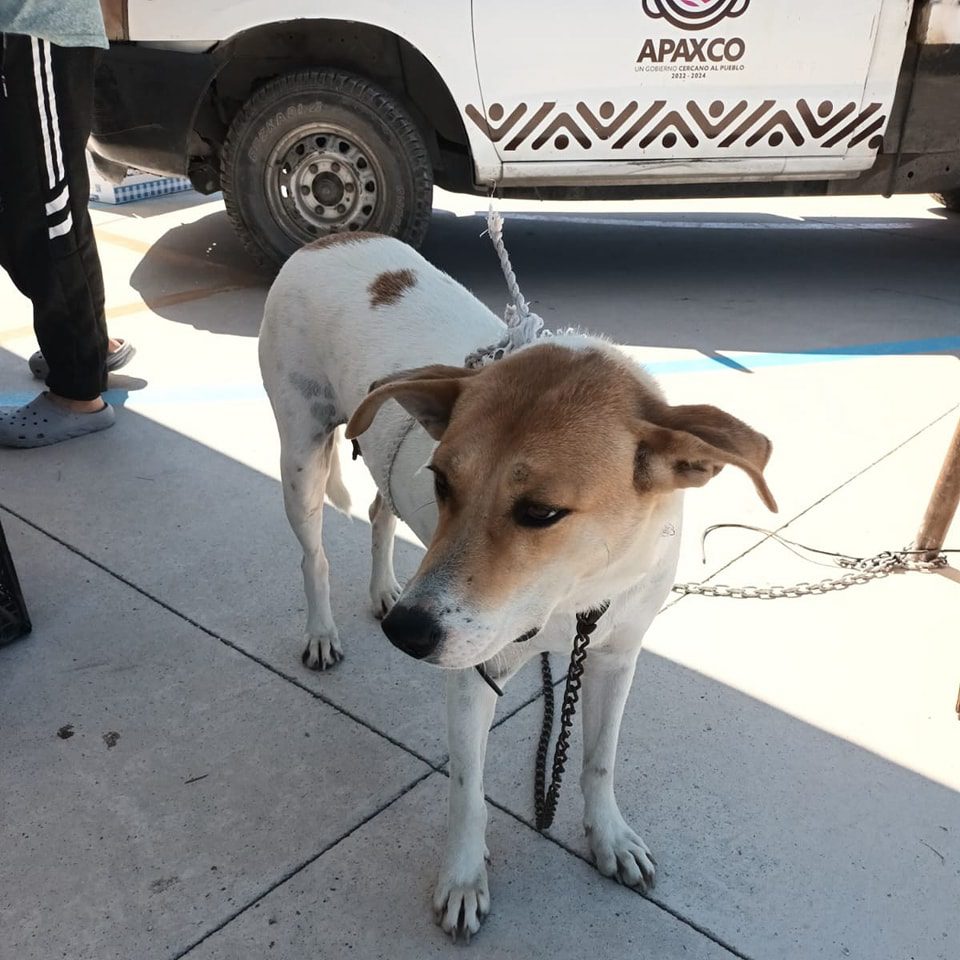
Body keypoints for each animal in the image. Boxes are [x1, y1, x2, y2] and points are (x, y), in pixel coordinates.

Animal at [258, 232, 776, 936]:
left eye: (541, 512)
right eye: (443, 481)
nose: (405, 634)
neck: (576, 600)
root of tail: (330, 236)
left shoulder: (616, 657)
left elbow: (599, 760)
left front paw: (609, 836)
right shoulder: (471, 674)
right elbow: (467, 792)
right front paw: (463, 877)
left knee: (379, 509)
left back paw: (384, 588)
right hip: (301, 457)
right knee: (313, 557)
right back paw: (322, 632)